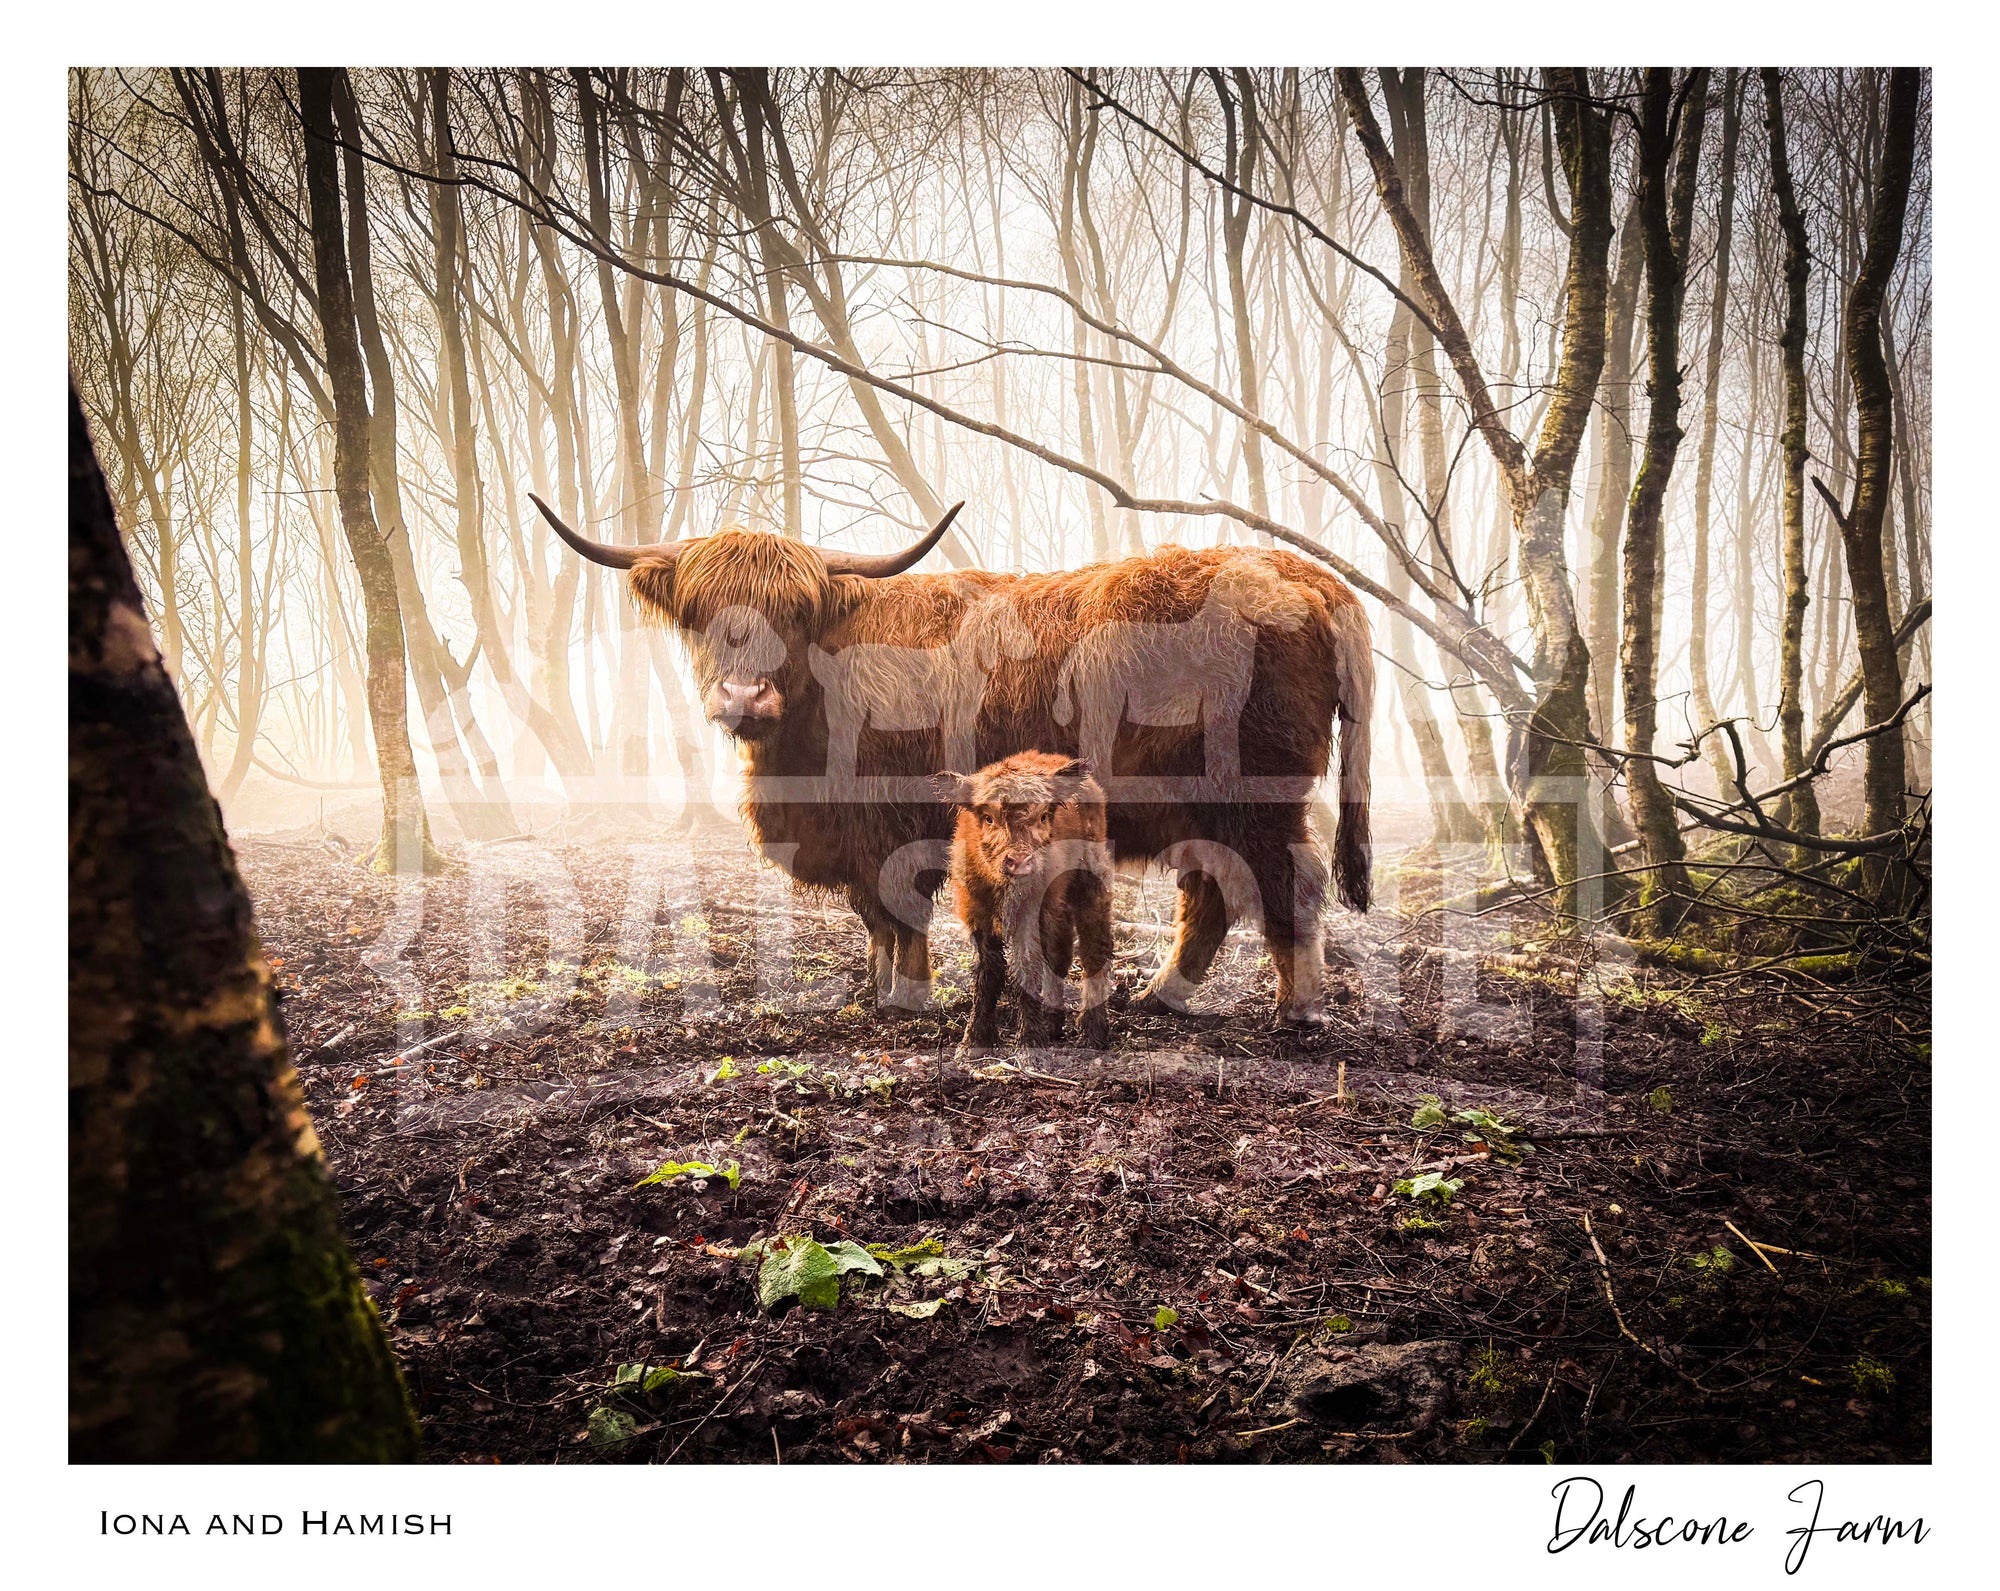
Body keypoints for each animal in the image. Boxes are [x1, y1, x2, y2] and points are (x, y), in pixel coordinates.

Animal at [934, 752, 1114, 1052]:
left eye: (1043, 816)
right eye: (988, 818)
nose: (1019, 861)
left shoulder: (1031, 914)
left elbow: (1026, 967)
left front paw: (1029, 1039)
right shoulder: (977, 912)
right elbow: (988, 971)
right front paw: (975, 1039)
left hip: (1091, 885)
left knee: (1093, 950)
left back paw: (1093, 1032)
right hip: (1057, 904)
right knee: (1060, 953)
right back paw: (1053, 1021)